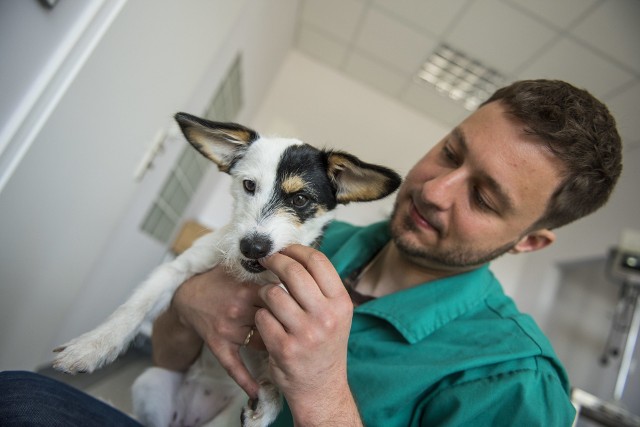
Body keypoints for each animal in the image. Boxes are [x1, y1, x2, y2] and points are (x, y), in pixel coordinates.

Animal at [52, 112, 400, 426]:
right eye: (248, 185)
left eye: (300, 199)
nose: (253, 247)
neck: (251, 276)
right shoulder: (177, 268)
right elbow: (133, 308)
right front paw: (90, 347)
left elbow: (276, 369)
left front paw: (270, 399)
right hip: (152, 381)